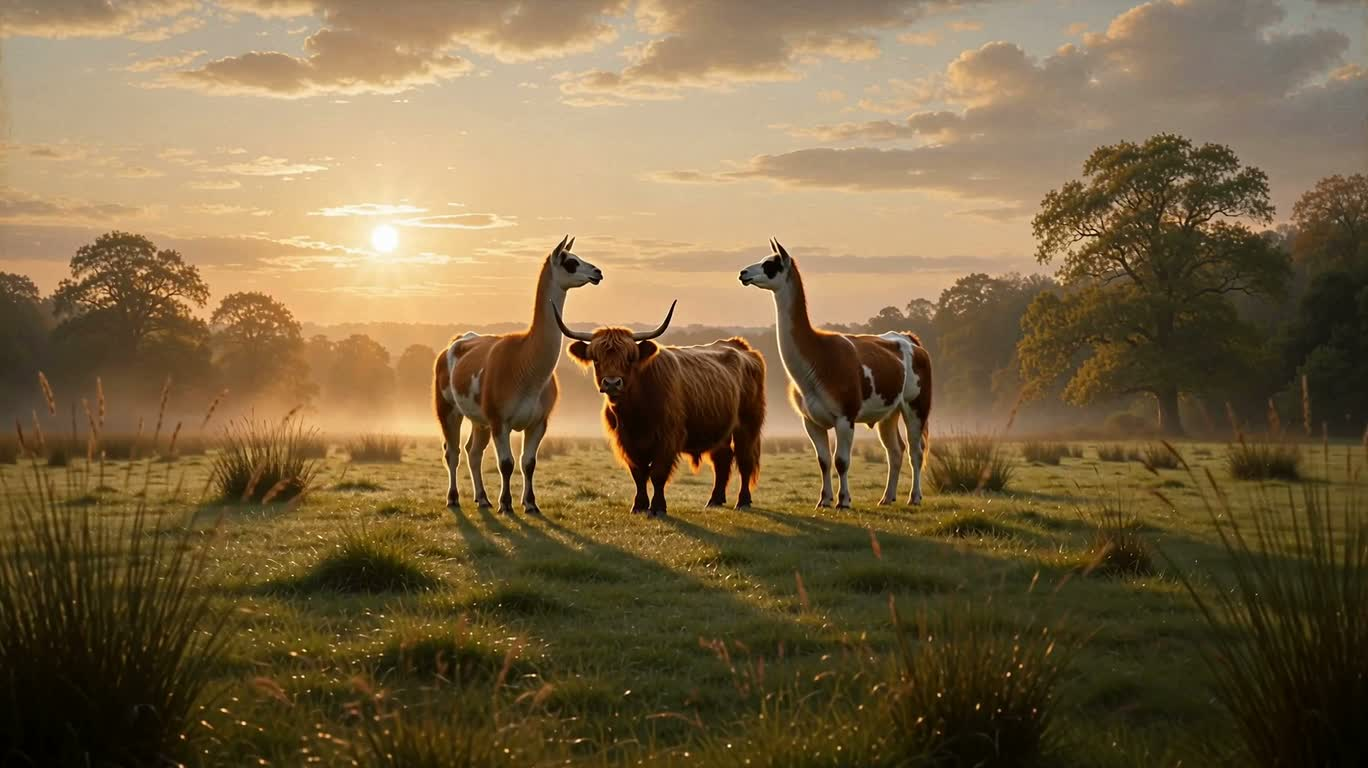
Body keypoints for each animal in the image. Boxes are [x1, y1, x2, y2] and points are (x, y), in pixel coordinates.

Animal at [554, 301, 766, 518]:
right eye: (596, 359)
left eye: (630, 358)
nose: (612, 383)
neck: (634, 412)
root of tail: (740, 346)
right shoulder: (626, 441)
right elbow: (638, 474)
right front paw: (639, 505)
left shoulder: (668, 438)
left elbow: (657, 474)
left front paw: (657, 507)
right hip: (719, 427)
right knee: (722, 459)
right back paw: (714, 500)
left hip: (748, 425)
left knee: (745, 461)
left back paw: (743, 501)